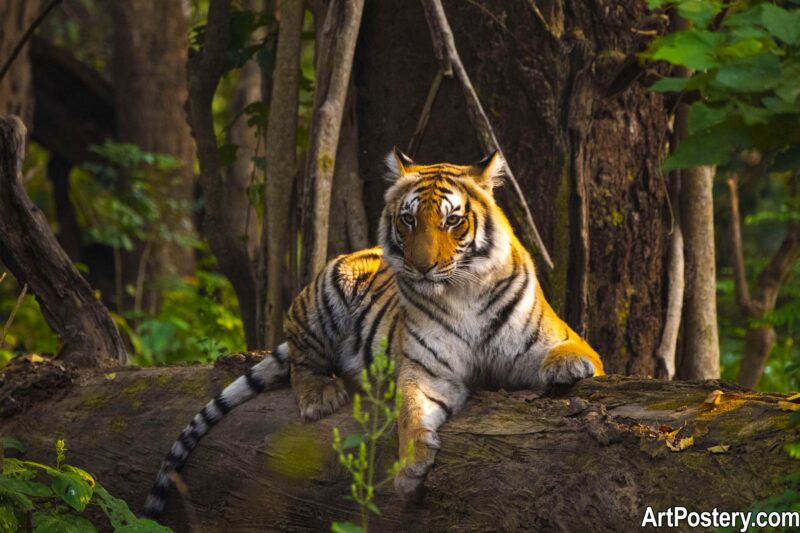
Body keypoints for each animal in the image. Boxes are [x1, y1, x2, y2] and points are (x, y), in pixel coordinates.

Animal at [143, 148, 604, 518]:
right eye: (408, 220)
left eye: (453, 221)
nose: (422, 267)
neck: (463, 292)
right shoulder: (427, 370)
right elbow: (410, 411)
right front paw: (410, 467)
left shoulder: (554, 335)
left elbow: (575, 351)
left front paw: (570, 366)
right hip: (327, 290)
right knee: (300, 354)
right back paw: (320, 396)